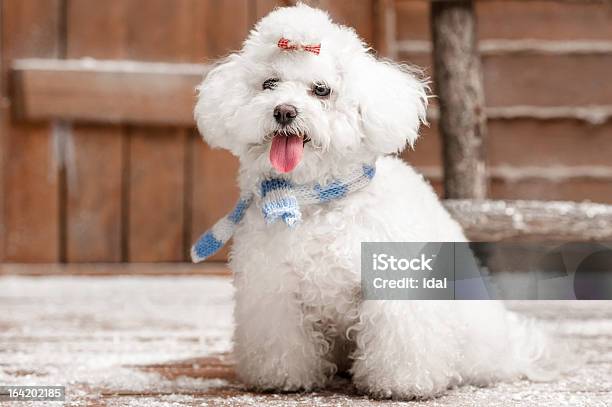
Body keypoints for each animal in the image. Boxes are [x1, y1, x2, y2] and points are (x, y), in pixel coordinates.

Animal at [195, 3, 560, 402]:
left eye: (321, 90)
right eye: (269, 84)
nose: (284, 111)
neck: (318, 198)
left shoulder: (396, 287)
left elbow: (400, 340)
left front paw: (402, 384)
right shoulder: (274, 290)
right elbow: (282, 341)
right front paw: (283, 378)